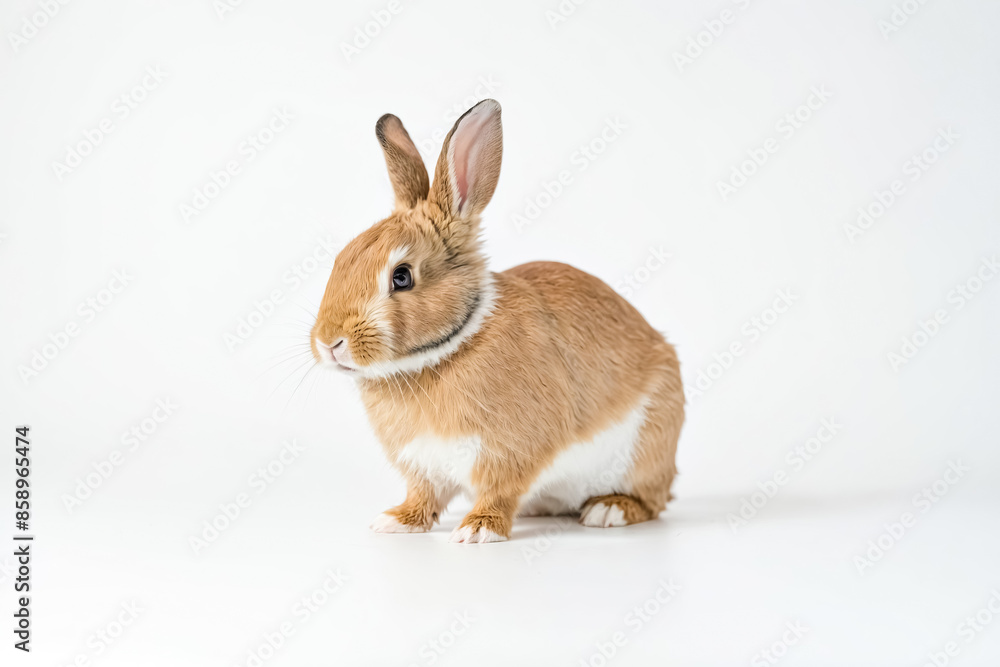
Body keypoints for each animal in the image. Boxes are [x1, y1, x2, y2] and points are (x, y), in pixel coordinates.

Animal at [310, 99, 684, 543]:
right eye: (341, 259)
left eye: (401, 277)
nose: (329, 343)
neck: (446, 350)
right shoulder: (422, 464)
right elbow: (423, 495)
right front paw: (396, 521)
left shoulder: (509, 452)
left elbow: (499, 490)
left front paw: (477, 530)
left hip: (646, 447)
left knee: (652, 500)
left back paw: (608, 510)